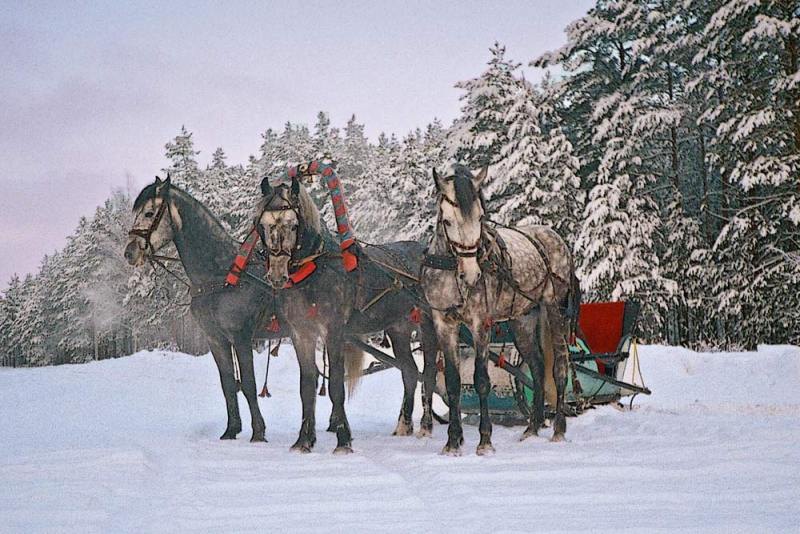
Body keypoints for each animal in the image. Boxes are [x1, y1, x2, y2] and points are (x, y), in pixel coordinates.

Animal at [125, 177, 288, 444]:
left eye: (149, 212)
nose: (130, 252)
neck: (221, 275)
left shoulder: (241, 337)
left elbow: (249, 384)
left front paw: (258, 432)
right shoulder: (216, 340)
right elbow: (228, 384)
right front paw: (231, 430)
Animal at [255, 176, 438, 456]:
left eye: (294, 224)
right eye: (263, 225)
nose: (276, 275)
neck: (315, 272)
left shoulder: (334, 332)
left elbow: (335, 386)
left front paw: (343, 440)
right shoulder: (302, 334)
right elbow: (307, 386)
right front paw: (303, 441)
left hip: (428, 325)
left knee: (428, 372)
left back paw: (426, 426)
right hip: (399, 327)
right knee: (408, 371)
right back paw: (403, 425)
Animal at [416, 164, 580, 456]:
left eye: (481, 217)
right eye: (447, 221)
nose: (472, 276)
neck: (451, 268)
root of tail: (555, 237)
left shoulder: (480, 322)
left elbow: (481, 380)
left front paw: (485, 440)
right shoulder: (443, 322)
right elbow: (453, 382)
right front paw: (453, 442)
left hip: (555, 310)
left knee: (559, 366)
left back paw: (558, 429)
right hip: (523, 319)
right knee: (537, 366)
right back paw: (532, 428)